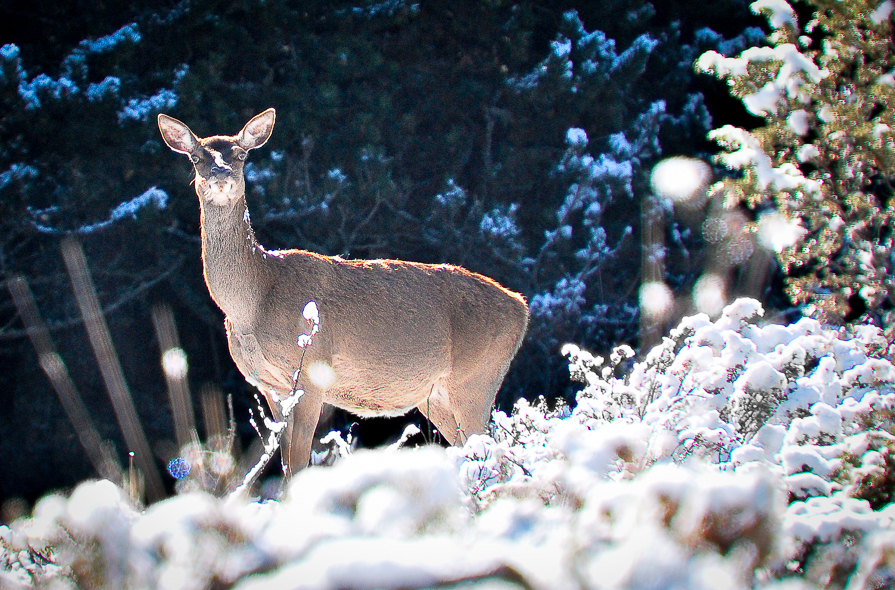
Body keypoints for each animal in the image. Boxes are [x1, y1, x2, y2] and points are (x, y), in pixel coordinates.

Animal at [158, 108, 528, 478]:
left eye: (240, 154)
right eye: (196, 157)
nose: (220, 174)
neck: (254, 303)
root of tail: (522, 308)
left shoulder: (312, 372)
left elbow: (298, 463)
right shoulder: (270, 387)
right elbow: (286, 464)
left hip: (476, 375)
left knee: (495, 455)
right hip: (435, 396)